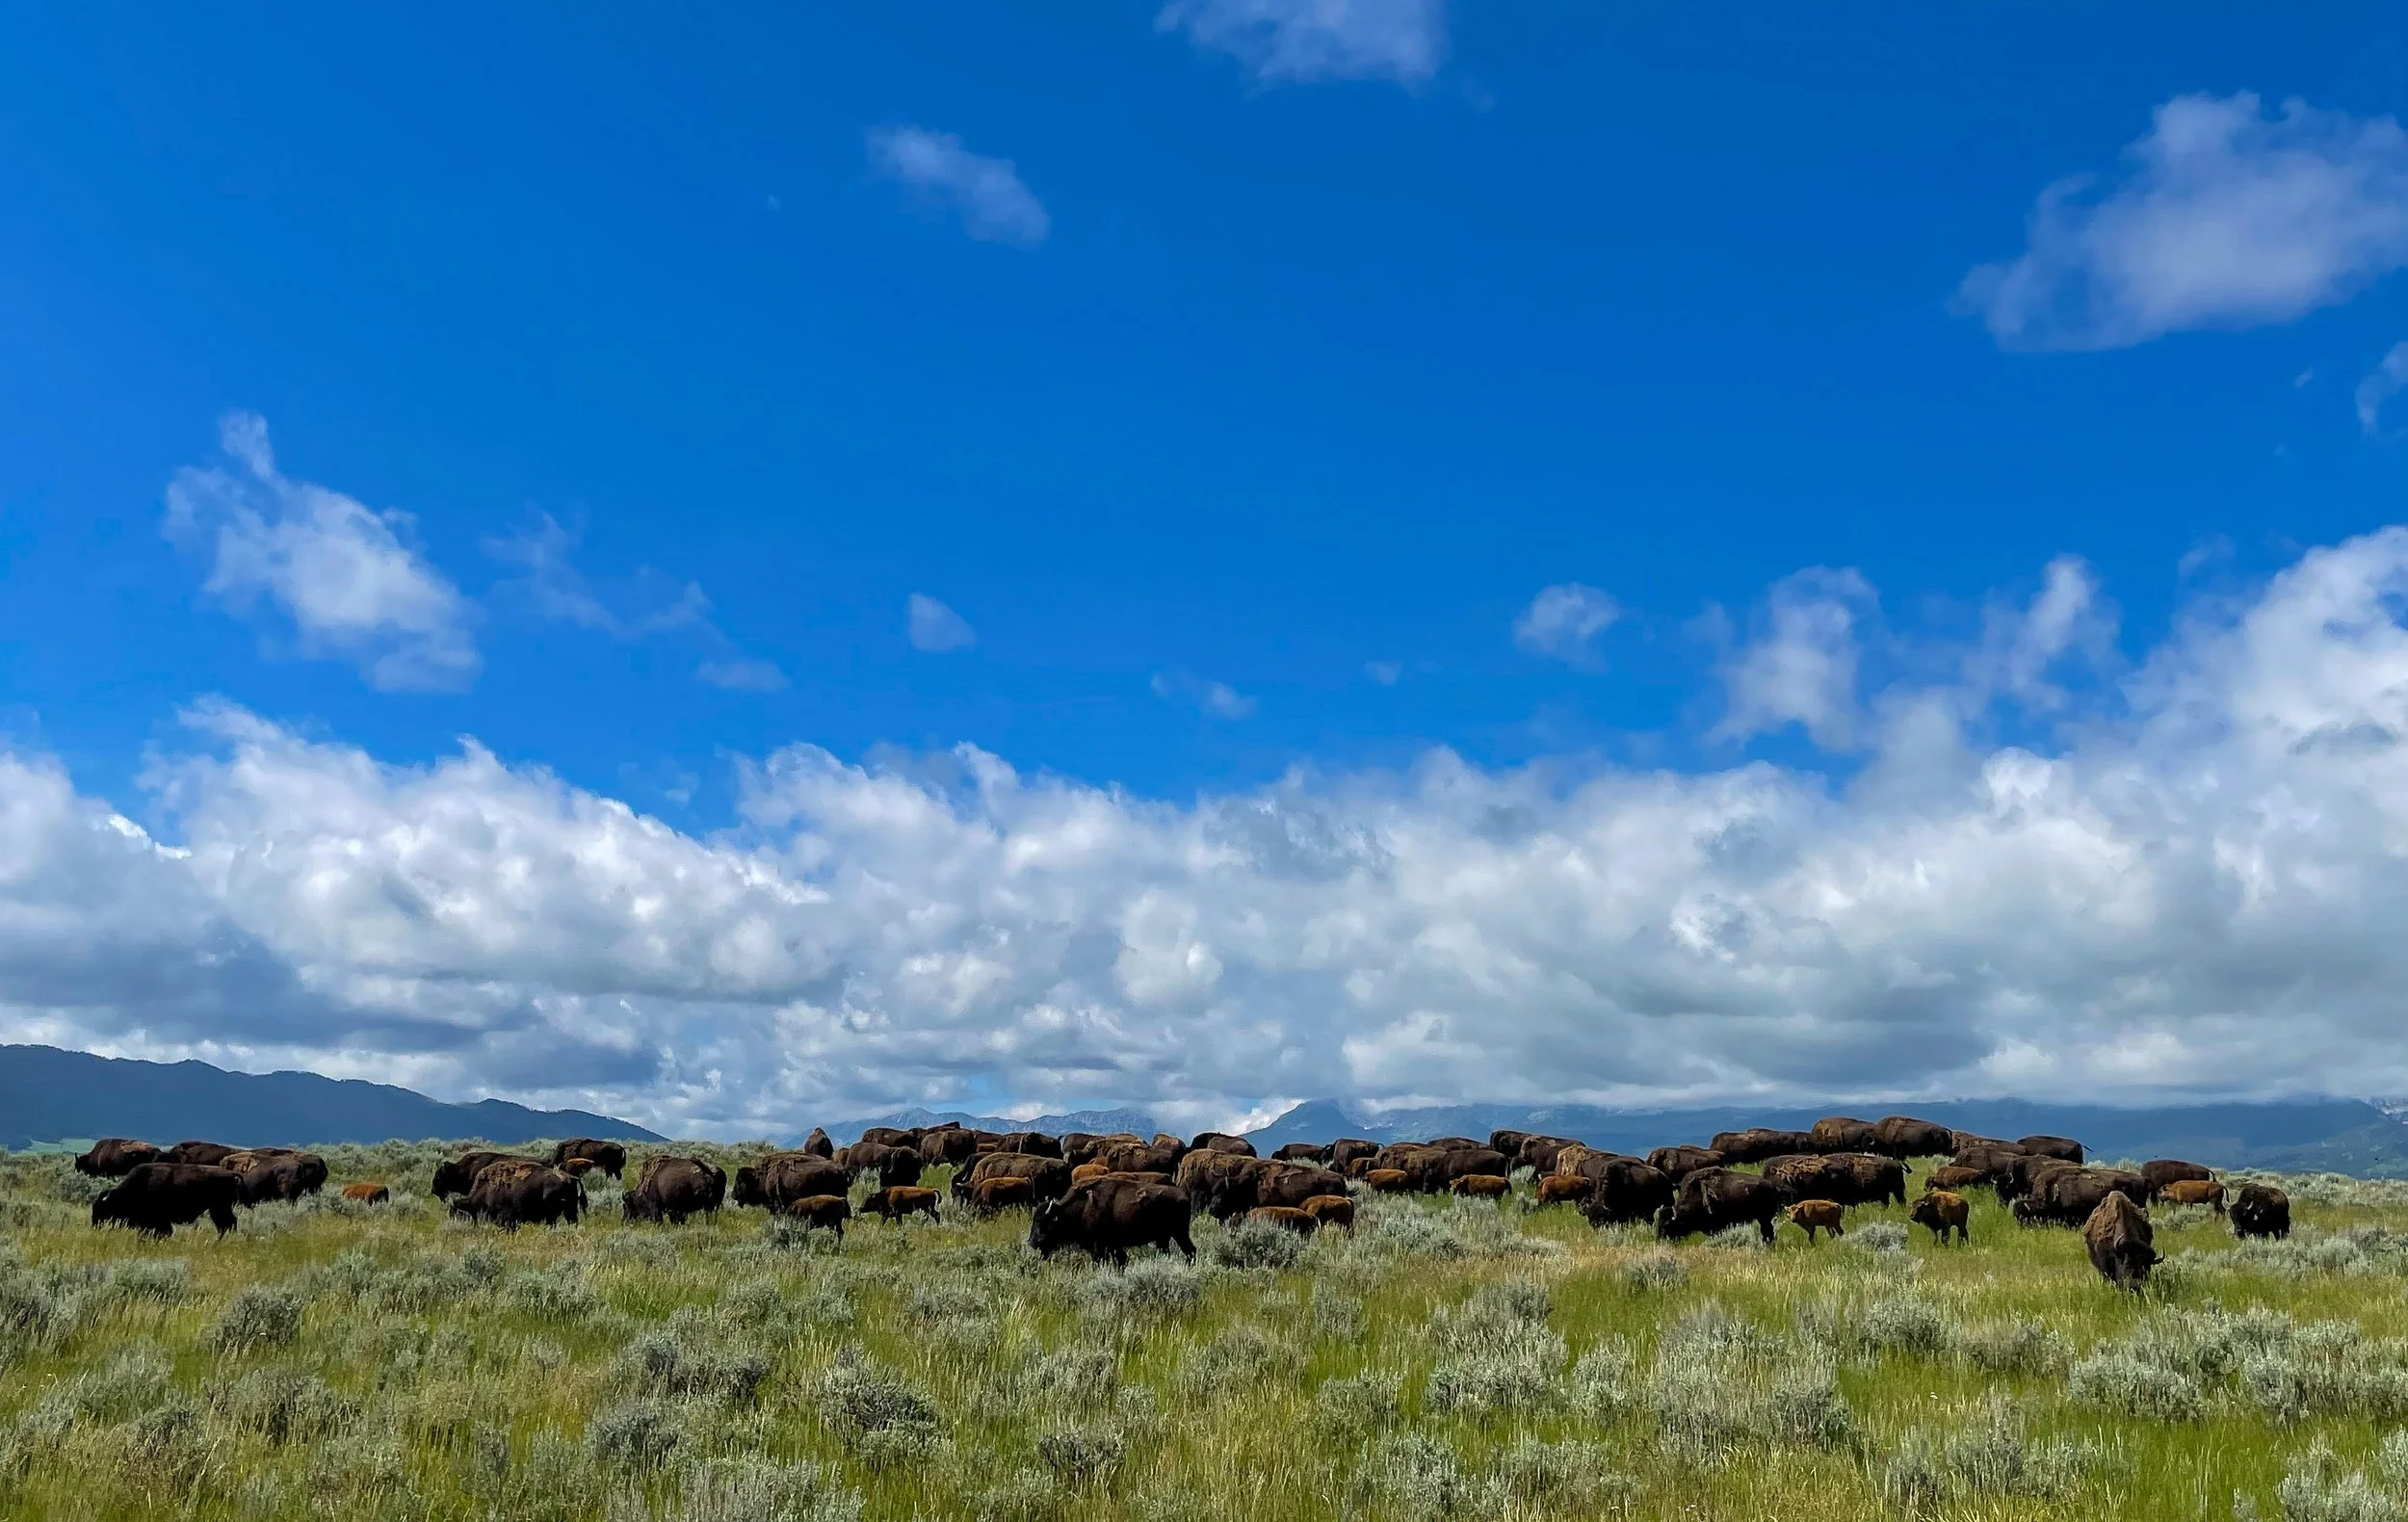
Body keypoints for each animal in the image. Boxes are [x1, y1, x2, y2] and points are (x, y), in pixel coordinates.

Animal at [92, 1163, 240, 1238]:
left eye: (102, 1208)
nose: (95, 1224)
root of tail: (231, 1173)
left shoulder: (158, 1220)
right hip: (218, 1208)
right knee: (225, 1225)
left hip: (219, 1207)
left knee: (227, 1224)